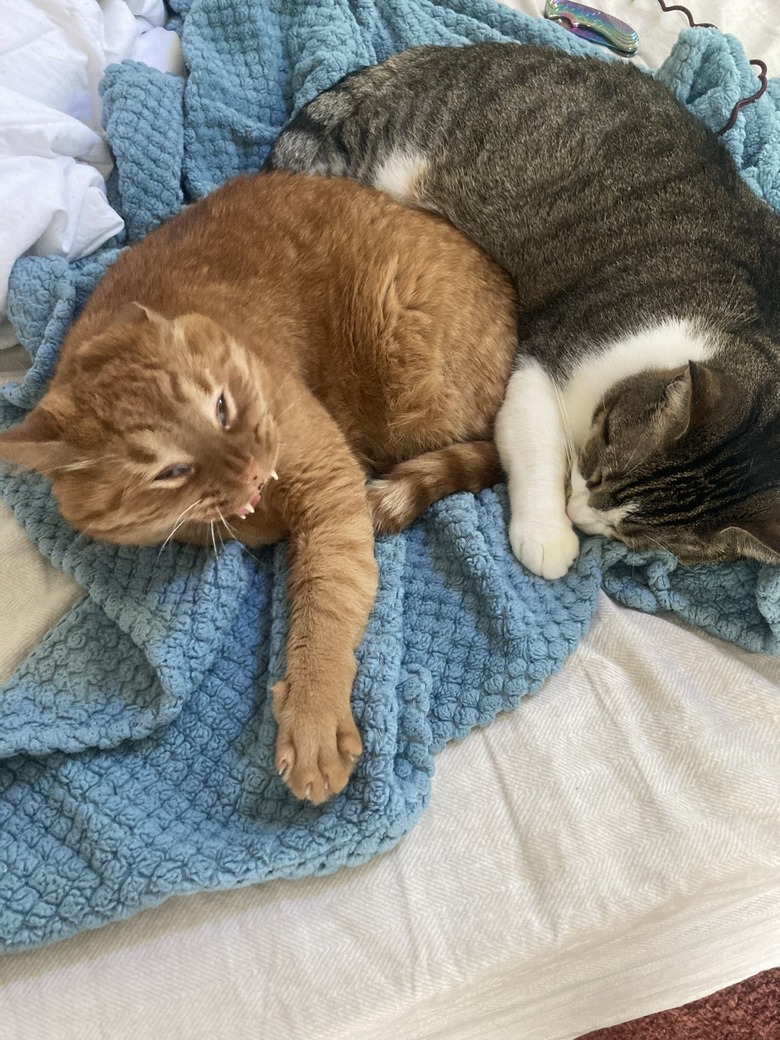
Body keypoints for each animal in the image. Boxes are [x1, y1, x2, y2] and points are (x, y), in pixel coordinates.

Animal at [0, 170, 520, 802]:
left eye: (222, 407)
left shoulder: (330, 489)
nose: (249, 468)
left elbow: (323, 608)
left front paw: (313, 718)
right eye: (170, 472)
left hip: (419, 390)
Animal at [270, 40, 780, 578]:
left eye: (632, 534)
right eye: (600, 465)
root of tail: (447, 55)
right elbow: (538, 444)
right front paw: (547, 535)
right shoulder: (545, 356)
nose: (578, 516)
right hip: (387, 166)